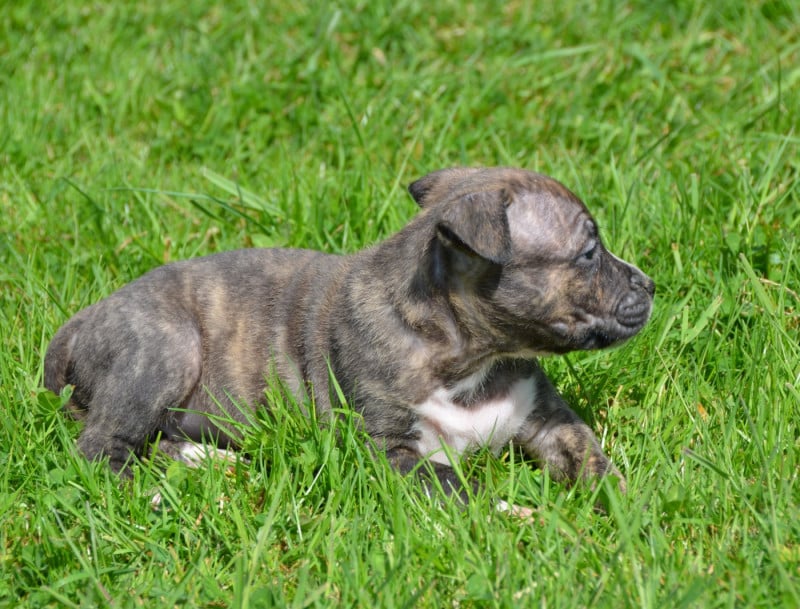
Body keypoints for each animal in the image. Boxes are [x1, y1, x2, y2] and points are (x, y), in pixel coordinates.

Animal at [44, 167, 654, 499]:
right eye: (589, 253)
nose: (651, 285)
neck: (470, 358)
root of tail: (75, 326)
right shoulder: (387, 450)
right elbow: (454, 482)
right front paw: (516, 514)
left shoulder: (549, 421)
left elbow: (592, 460)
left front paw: (630, 510)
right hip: (163, 350)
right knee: (103, 448)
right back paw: (158, 493)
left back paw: (208, 461)